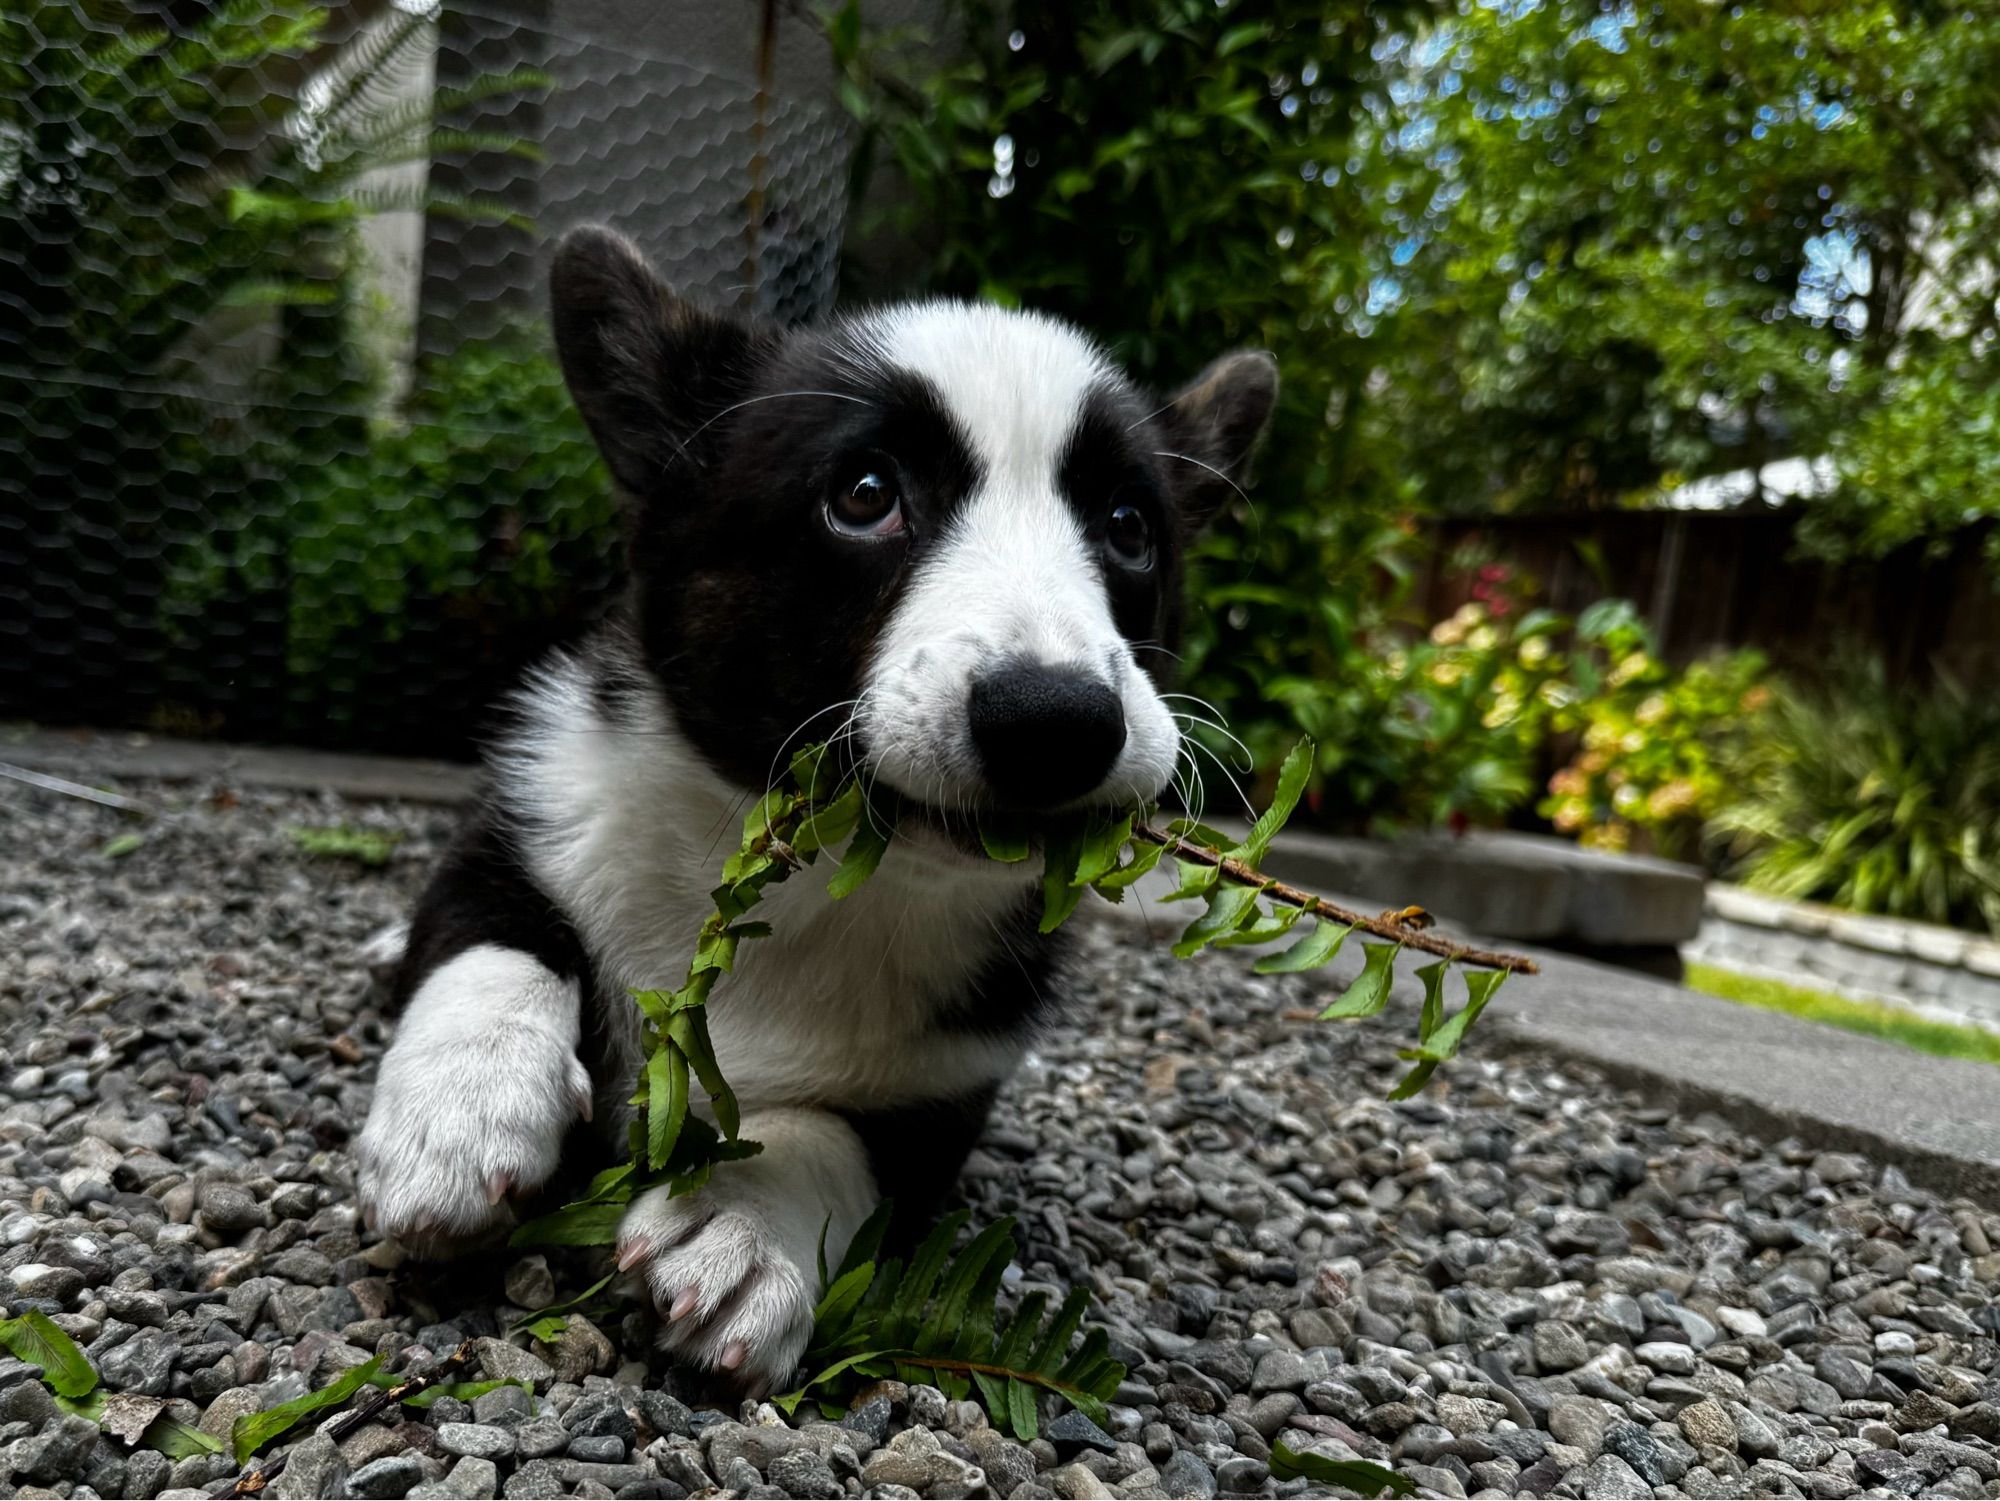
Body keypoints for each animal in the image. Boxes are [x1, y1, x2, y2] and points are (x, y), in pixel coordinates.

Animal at [352, 226, 1272, 1400]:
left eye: (1127, 527)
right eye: (866, 493)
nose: (1059, 721)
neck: (819, 877)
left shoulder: (947, 1092)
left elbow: (837, 1138)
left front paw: (748, 1231)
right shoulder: (522, 814)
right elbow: (497, 938)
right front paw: (462, 1114)